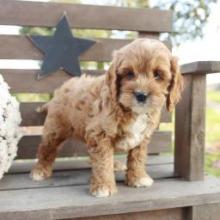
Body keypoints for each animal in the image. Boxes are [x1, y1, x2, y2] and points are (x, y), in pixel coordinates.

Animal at [30, 38, 183, 198]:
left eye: (158, 75)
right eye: (129, 74)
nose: (141, 95)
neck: (130, 110)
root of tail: (60, 90)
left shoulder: (142, 136)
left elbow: (137, 157)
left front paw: (138, 178)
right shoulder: (99, 133)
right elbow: (103, 160)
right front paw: (103, 186)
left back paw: (114, 165)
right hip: (55, 128)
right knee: (46, 148)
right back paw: (40, 170)